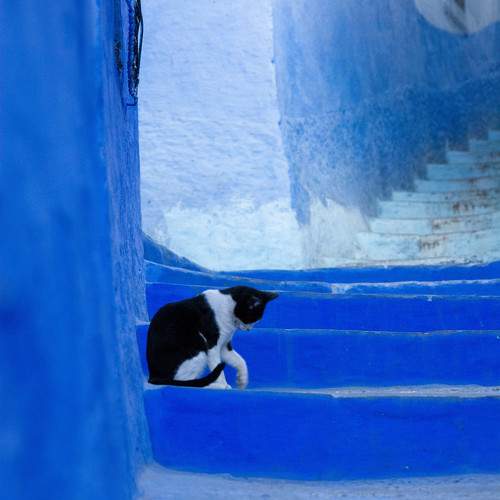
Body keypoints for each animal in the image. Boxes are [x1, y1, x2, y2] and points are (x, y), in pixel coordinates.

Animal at [146, 286, 279, 389]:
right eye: (252, 319)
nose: (248, 329)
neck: (228, 306)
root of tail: (153, 375)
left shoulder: (224, 347)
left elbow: (240, 360)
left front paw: (242, 379)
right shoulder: (212, 345)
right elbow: (218, 367)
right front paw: (224, 384)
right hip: (198, 347)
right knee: (185, 382)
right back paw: (214, 385)